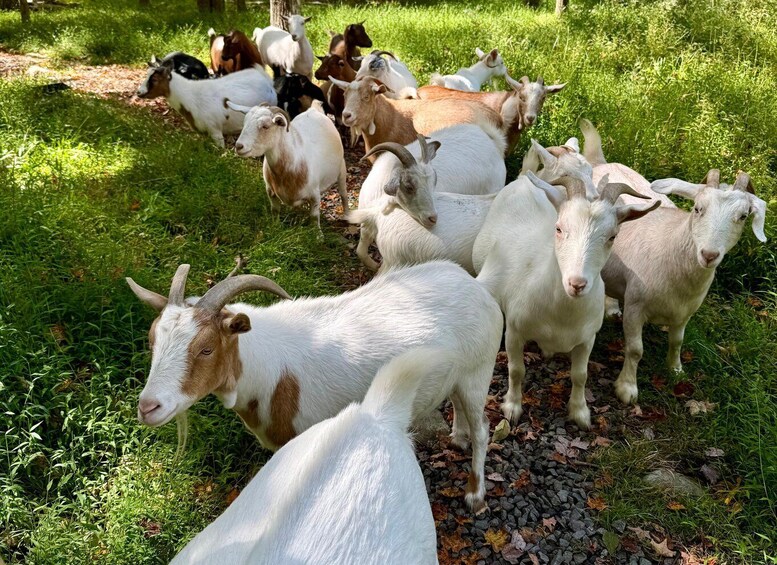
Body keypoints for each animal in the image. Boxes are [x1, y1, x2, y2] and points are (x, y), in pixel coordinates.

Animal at [127, 261, 503, 511]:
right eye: (151, 340)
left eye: (206, 348)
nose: (149, 407)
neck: (267, 367)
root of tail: (479, 285)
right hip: (459, 376)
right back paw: (456, 438)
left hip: (478, 371)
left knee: (483, 427)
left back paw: (475, 495)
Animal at [473, 174, 659, 428]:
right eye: (559, 228)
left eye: (612, 237)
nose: (577, 283)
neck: (560, 314)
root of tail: (523, 180)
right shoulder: (514, 331)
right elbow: (516, 370)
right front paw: (512, 407)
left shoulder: (587, 338)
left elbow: (580, 376)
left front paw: (580, 412)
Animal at [600, 170, 767, 404]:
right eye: (697, 208)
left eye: (743, 216)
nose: (709, 255)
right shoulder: (635, 307)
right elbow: (635, 350)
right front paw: (627, 388)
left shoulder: (684, 312)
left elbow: (677, 341)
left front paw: (675, 370)